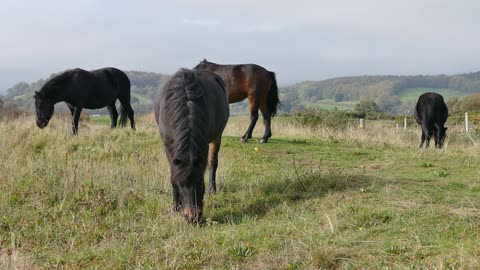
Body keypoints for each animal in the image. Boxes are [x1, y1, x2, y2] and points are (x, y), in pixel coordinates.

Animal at [154, 68, 229, 224]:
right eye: (180, 186)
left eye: (200, 183)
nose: (193, 218)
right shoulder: (168, 146)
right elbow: (173, 173)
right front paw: (175, 207)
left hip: (217, 136)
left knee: (213, 163)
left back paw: (213, 190)